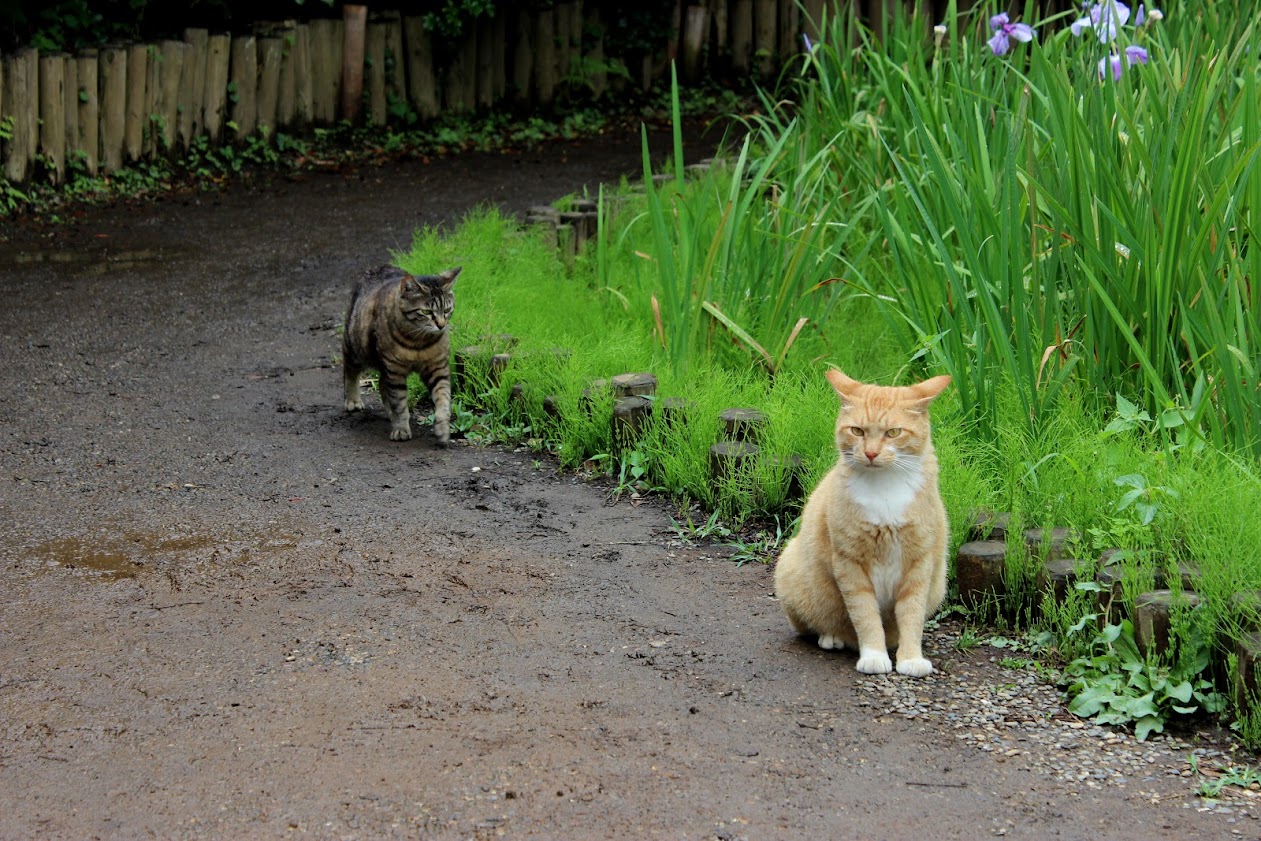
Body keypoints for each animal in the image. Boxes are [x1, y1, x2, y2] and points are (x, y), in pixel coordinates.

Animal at [342, 266, 461, 443]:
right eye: (426, 311)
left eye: (447, 309)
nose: (441, 325)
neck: (419, 342)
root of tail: (378, 268)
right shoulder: (395, 371)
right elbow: (399, 403)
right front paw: (401, 428)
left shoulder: (438, 368)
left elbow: (443, 399)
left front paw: (442, 427)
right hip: (355, 346)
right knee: (350, 370)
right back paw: (352, 399)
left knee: (382, 384)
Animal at [771, 368, 948, 675]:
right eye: (857, 431)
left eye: (893, 432)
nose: (871, 453)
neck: (885, 488)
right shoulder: (850, 563)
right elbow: (865, 614)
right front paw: (874, 655)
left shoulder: (919, 563)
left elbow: (912, 615)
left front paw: (911, 658)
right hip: (792, 572)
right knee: (819, 625)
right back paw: (832, 637)